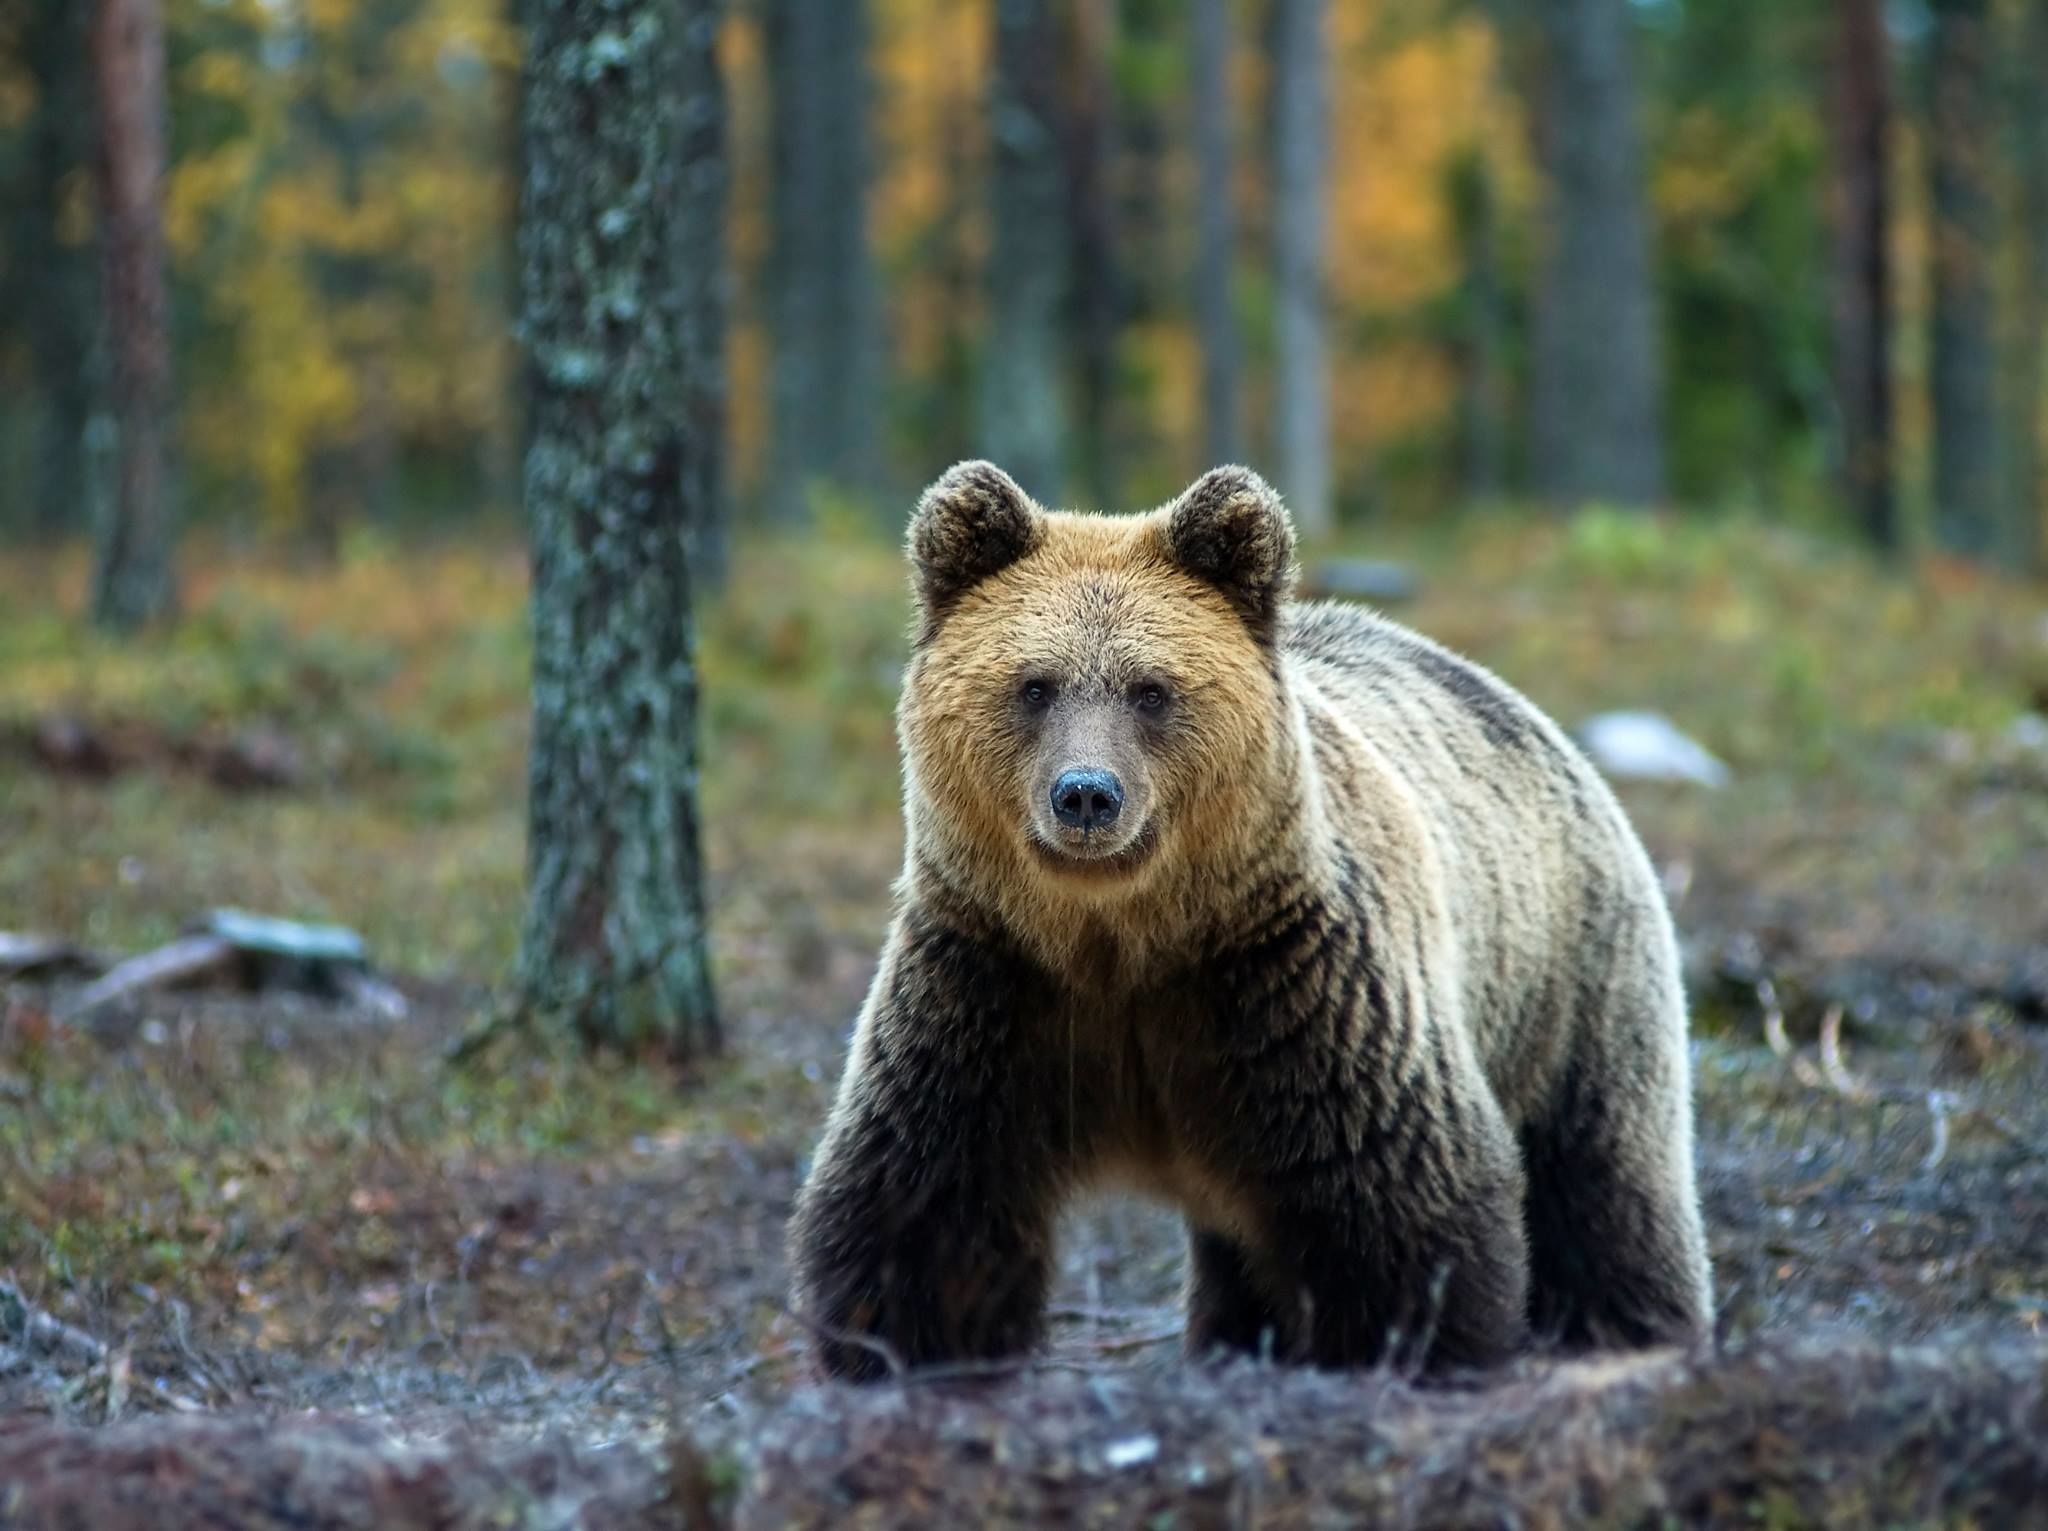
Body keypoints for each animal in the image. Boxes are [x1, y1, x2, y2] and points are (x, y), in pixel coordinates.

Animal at [787, 460, 1713, 1380]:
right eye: (1034, 685)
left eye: (1151, 690)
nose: (1086, 795)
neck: (1123, 939)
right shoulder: (992, 987)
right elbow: (926, 1204)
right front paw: (907, 1353)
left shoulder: (1293, 989)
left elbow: (1403, 1205)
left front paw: (1413, 1351)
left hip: (1571, 978)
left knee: (1605, 1182)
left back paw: (1631, 1330)